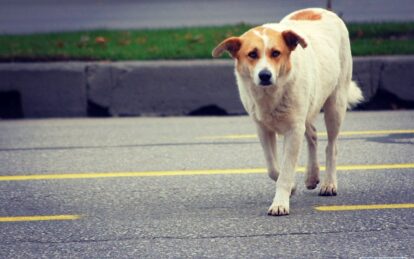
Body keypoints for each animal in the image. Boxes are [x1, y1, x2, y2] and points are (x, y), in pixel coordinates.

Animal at [212, 8, 364, 216]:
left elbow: (285, 171)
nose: (265, 75)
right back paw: (311, 176)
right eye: (252, 54)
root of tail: (321, 9)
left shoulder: (293, 130)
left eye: (276, 53)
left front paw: (280, 203)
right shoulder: (263, 129)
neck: (271, 94)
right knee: (312, 135)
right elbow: (273, 168)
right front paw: (291, 187)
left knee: (331, 146)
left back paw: (329, 183)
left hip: (335, 104)